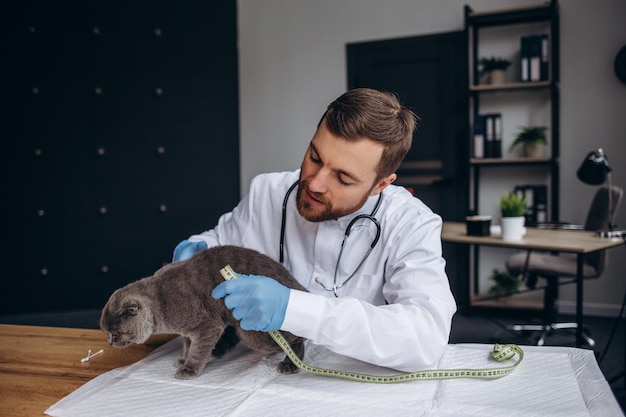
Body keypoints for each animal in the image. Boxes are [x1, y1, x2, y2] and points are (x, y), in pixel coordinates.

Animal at [100, 245, 308, 378]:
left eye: (116, 333)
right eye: (107, 333)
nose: (110, 343)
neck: (160, 301)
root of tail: (298, 287)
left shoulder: (207, 327)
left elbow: (197, 350)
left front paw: (189, 368)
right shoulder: (188, 331)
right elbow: (187, 344)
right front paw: (183, 359)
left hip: (254, 332)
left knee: (298, 338)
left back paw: (290, 363)